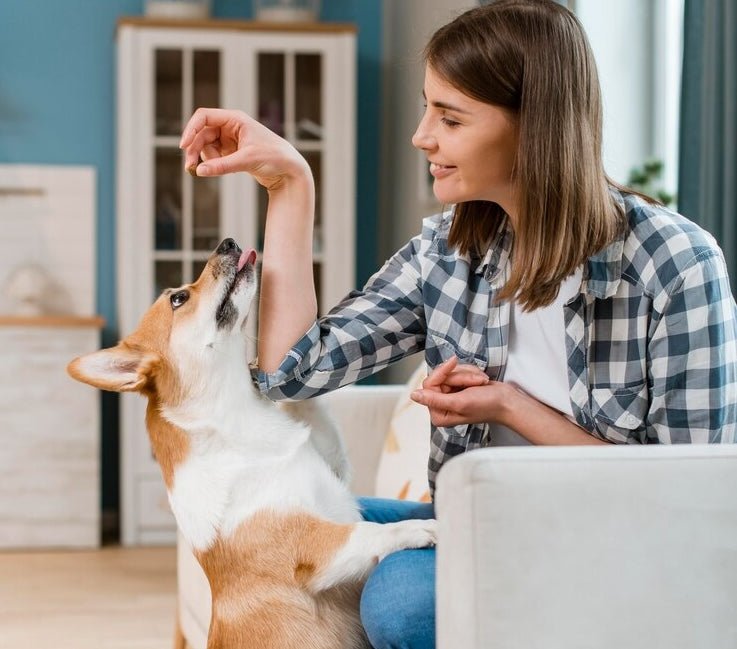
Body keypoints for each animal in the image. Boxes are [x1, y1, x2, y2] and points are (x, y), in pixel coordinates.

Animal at [67, 238, 436, 648]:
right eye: (178, 298)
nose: (226, 242)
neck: (237, 423)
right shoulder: (319, 549)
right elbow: (370, 532)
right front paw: (423, 528)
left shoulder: (334, 465)